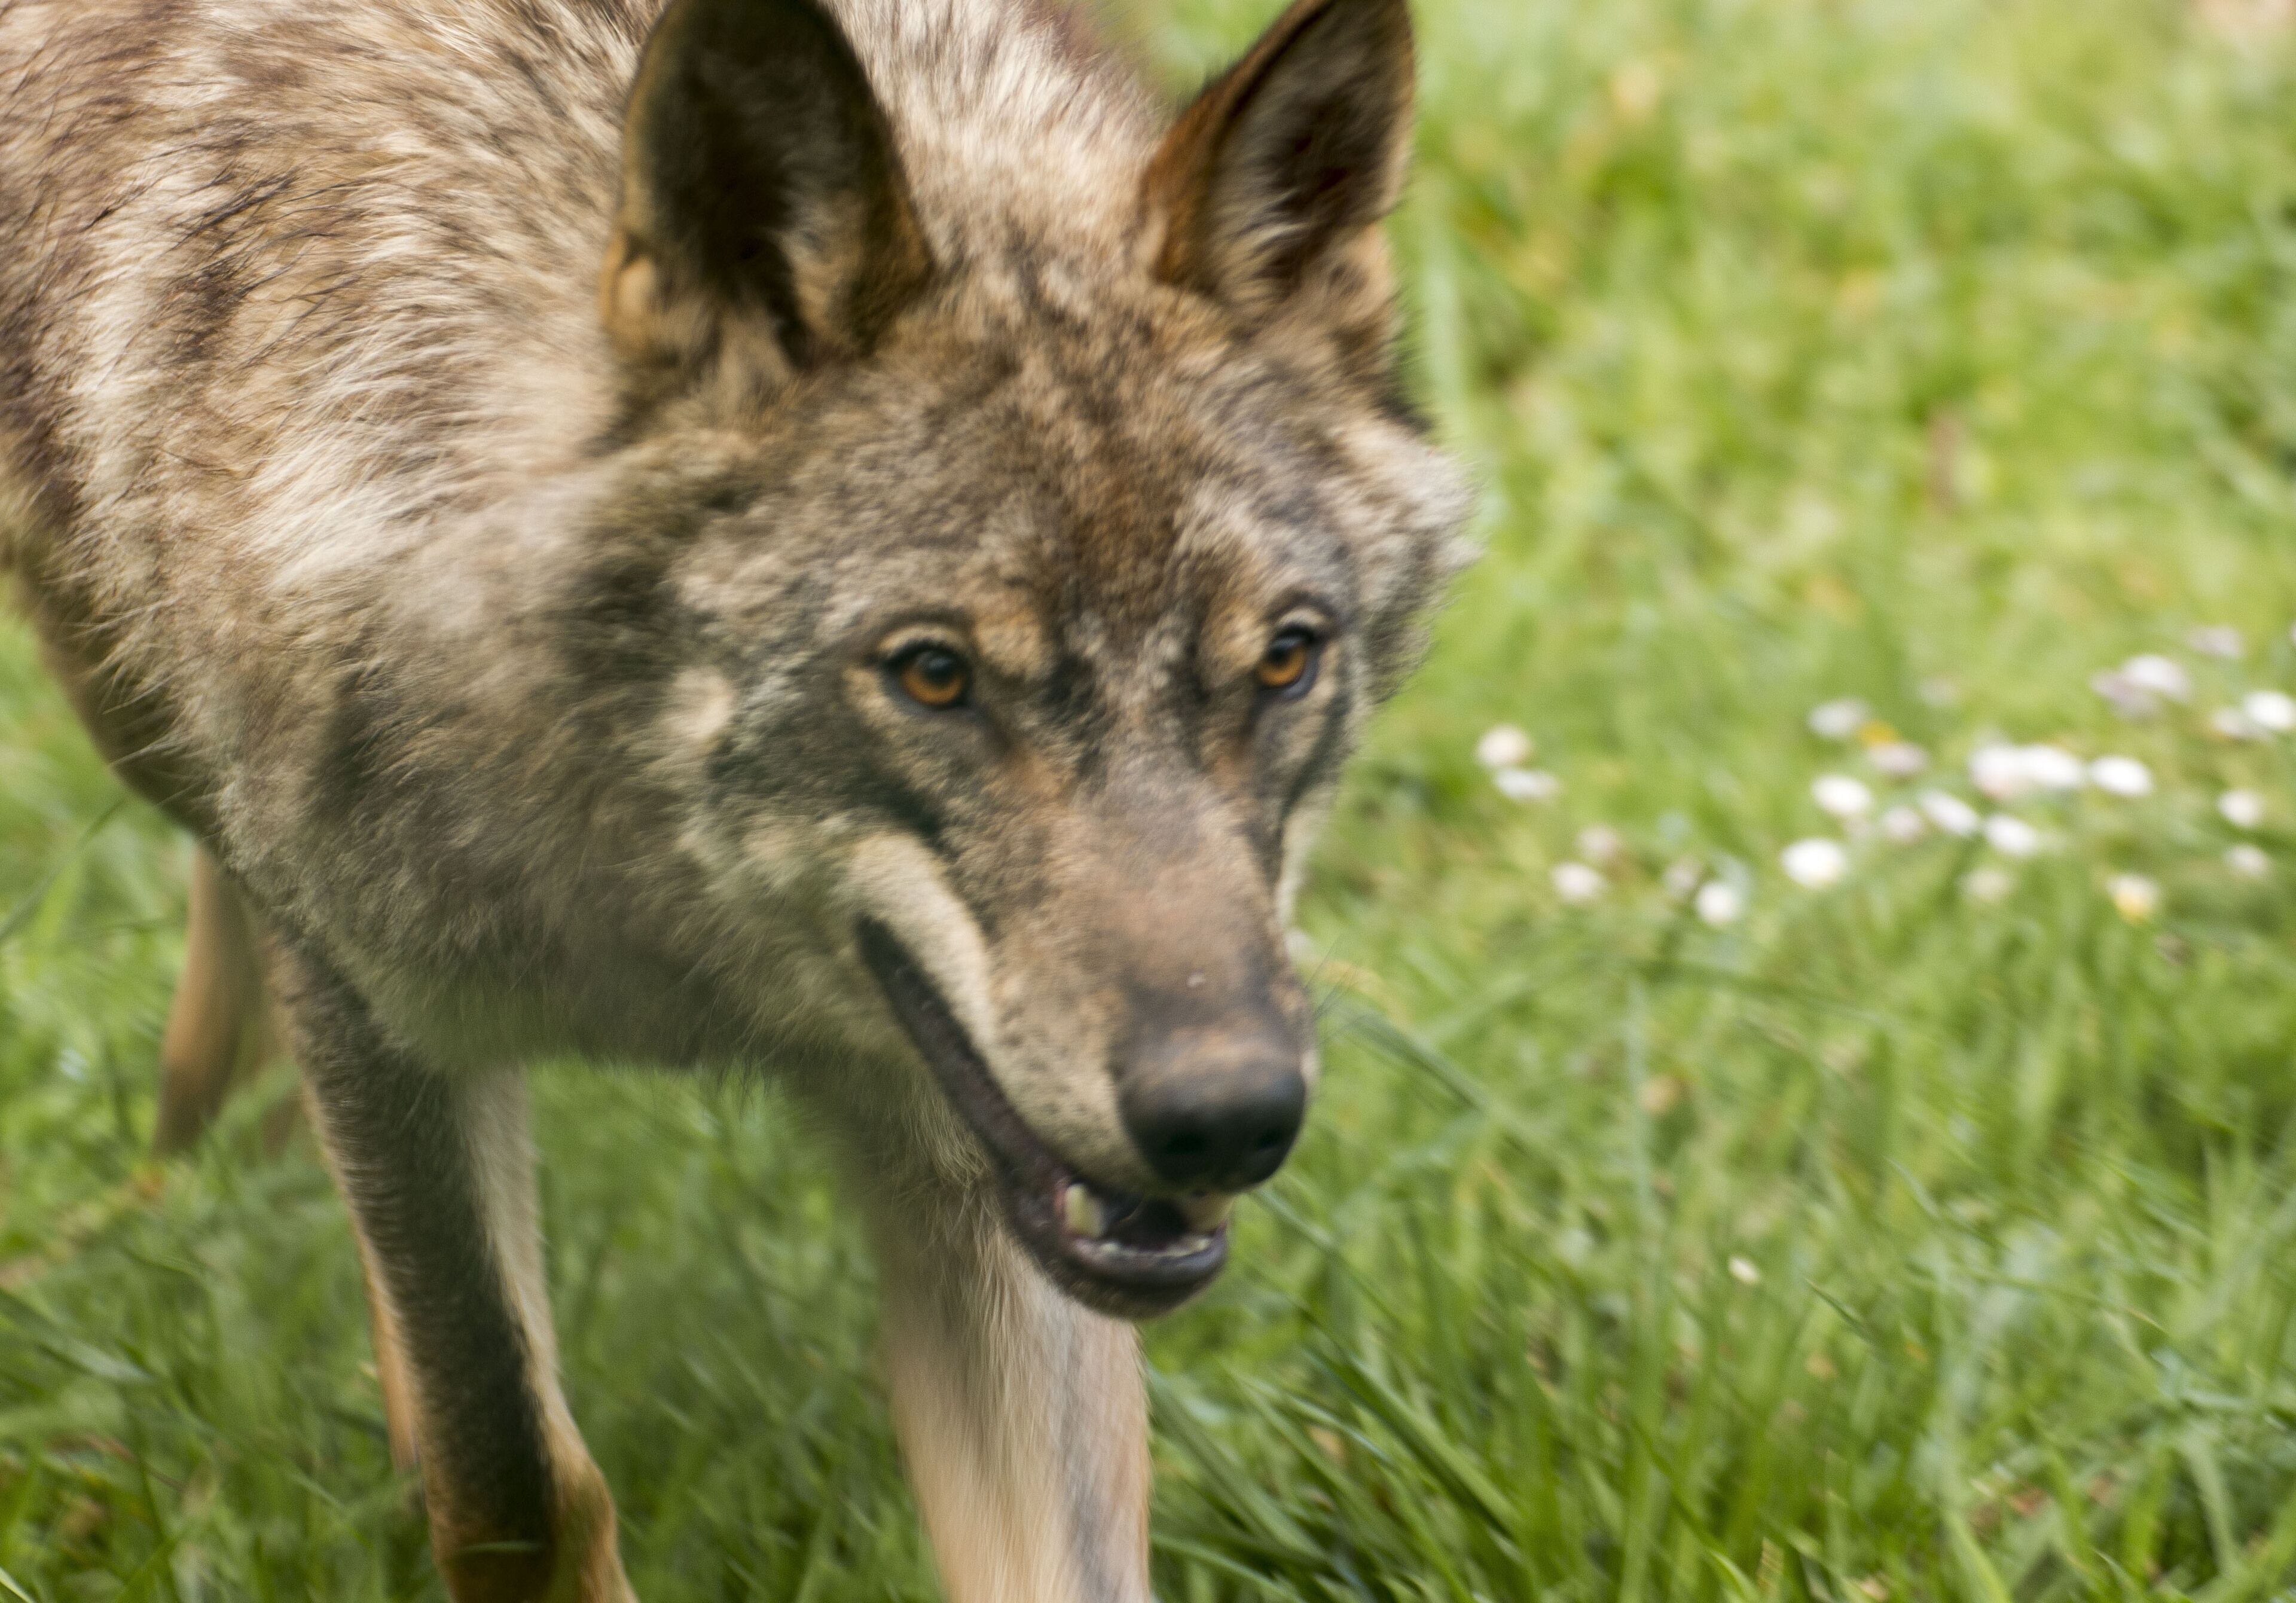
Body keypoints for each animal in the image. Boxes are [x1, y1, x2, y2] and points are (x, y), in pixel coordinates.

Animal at [0, 0, 1471, 1594]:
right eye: (933, 674)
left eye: (1284, 657)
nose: (1229, 1117)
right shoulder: (378, 1016)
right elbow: (512, 1475)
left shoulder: (975, 1161)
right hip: (116, 684)